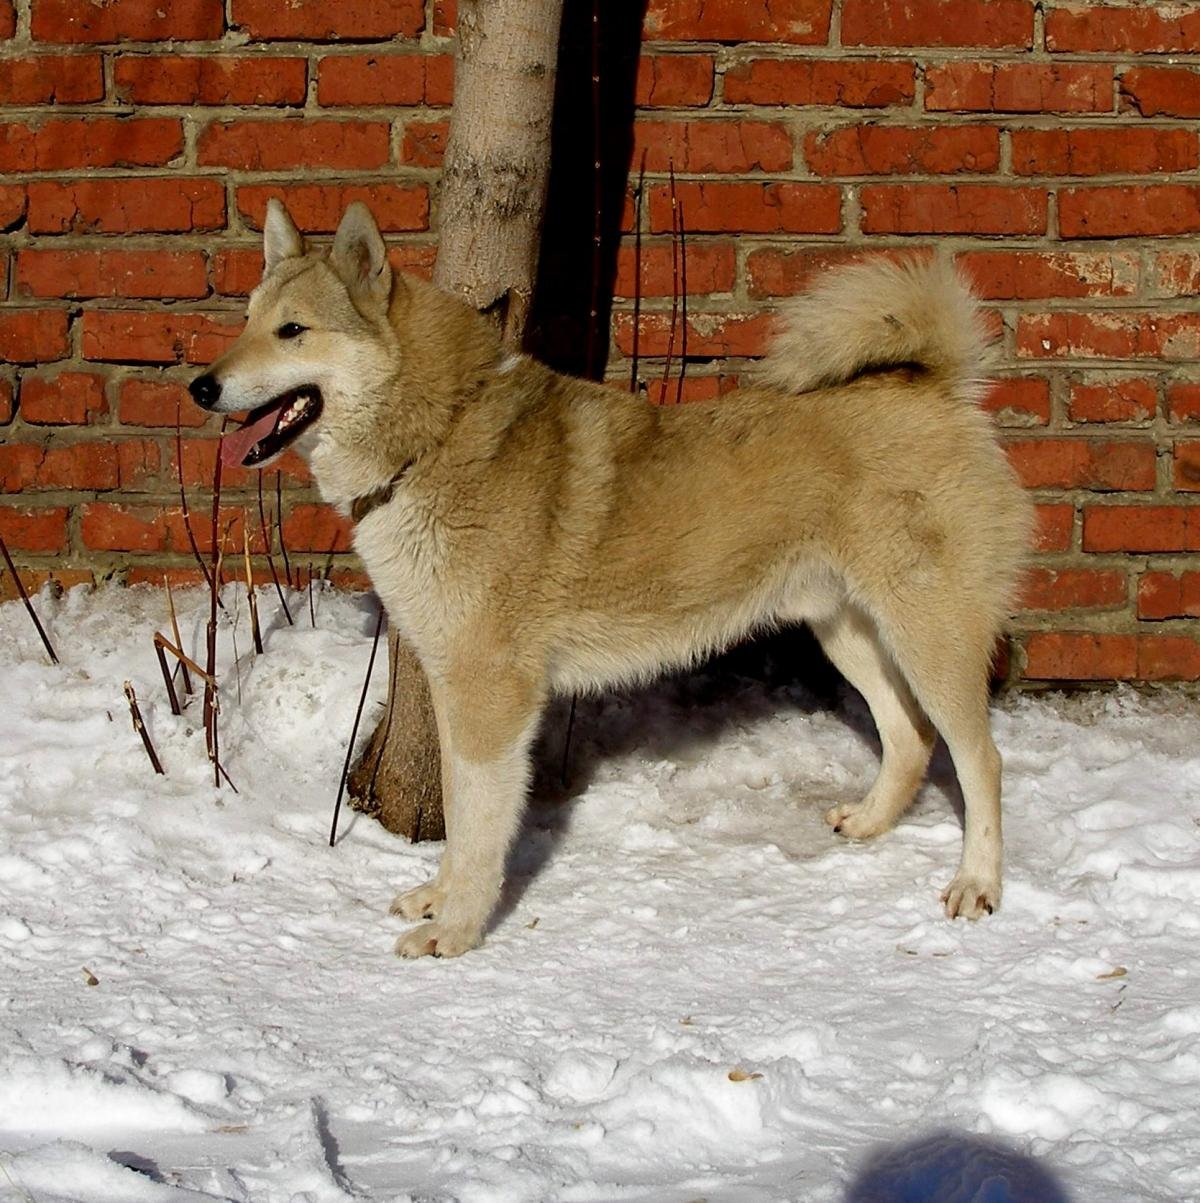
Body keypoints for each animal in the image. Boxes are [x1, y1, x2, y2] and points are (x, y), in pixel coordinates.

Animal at [189, 202, 1034, 962]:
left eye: (293, 330)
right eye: (247, 320)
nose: (200, 386)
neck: (436, 435)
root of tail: (939, 389)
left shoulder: (492, 696)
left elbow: (480, 826)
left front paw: (456, 930)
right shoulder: (458, 688)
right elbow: (460, 812)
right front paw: (440, 897)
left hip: (929, 635)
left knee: (981, 759)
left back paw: (978, 884)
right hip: (848, 630)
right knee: (910, 736)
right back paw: (869, 824)